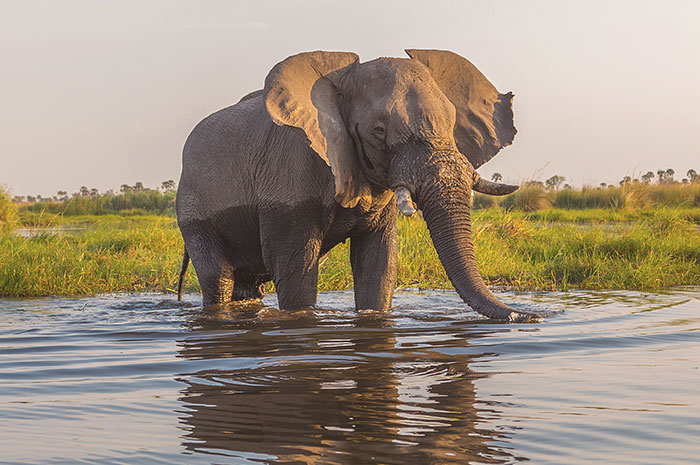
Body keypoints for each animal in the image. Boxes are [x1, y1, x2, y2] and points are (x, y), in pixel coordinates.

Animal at [178, 49, 540, 320]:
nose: (529, 316)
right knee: (218, 279)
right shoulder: (289, 177)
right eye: (378, 132)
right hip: (192, 212)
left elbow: (378, 265)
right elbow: (295, 270)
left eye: (452, 123)